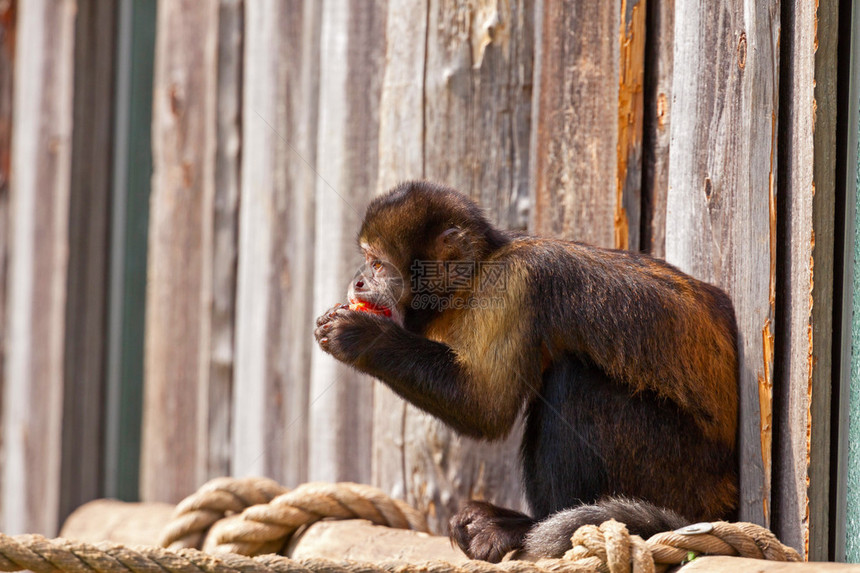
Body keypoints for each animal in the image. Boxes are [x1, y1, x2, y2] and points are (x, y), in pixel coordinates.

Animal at [316, 181, 740, 560]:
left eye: (377, 264)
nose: (358, 281)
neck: (474, 278)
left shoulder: (511, 286)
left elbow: (484, 406)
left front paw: (364, 338)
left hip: (679, 475)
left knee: (575, 381)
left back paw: (526, 527)